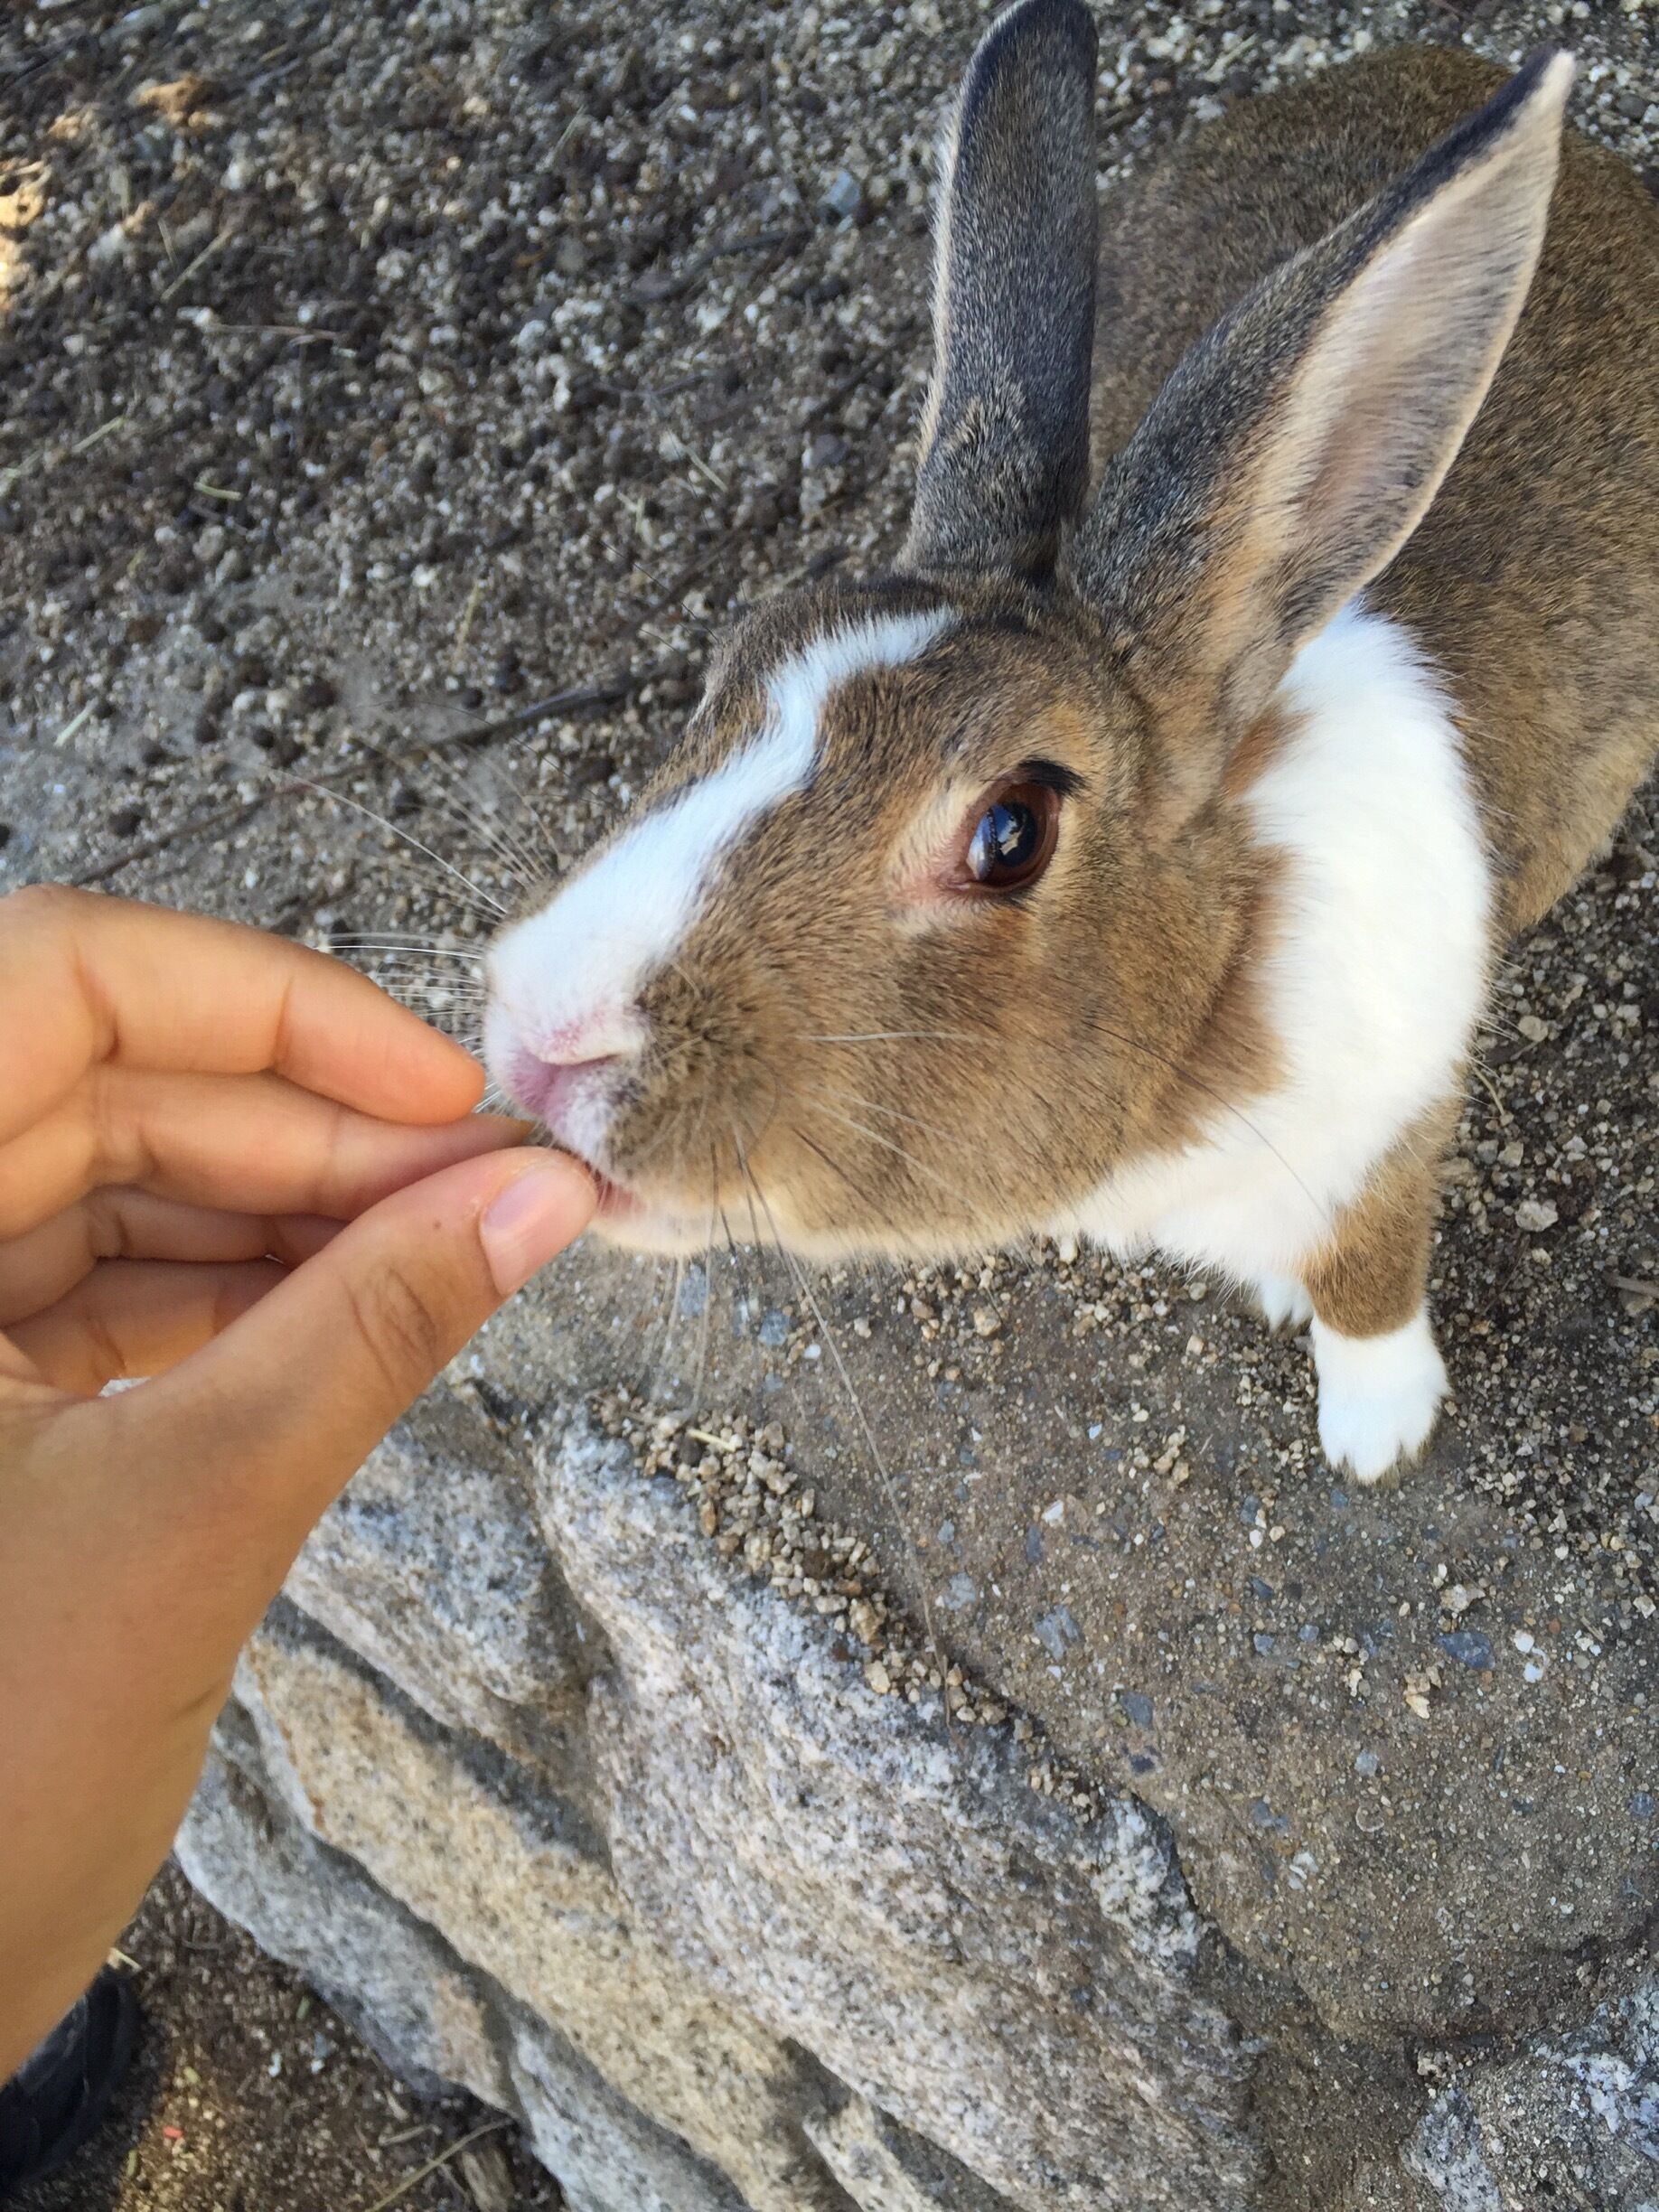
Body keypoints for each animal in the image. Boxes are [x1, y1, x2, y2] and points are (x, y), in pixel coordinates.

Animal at [483, 0, 1659, 1486]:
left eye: (1012, 833)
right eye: (736, 654)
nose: (541, 1041)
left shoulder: (1391, 1132)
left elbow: (1371, 1282)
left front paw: (1375, 1438)